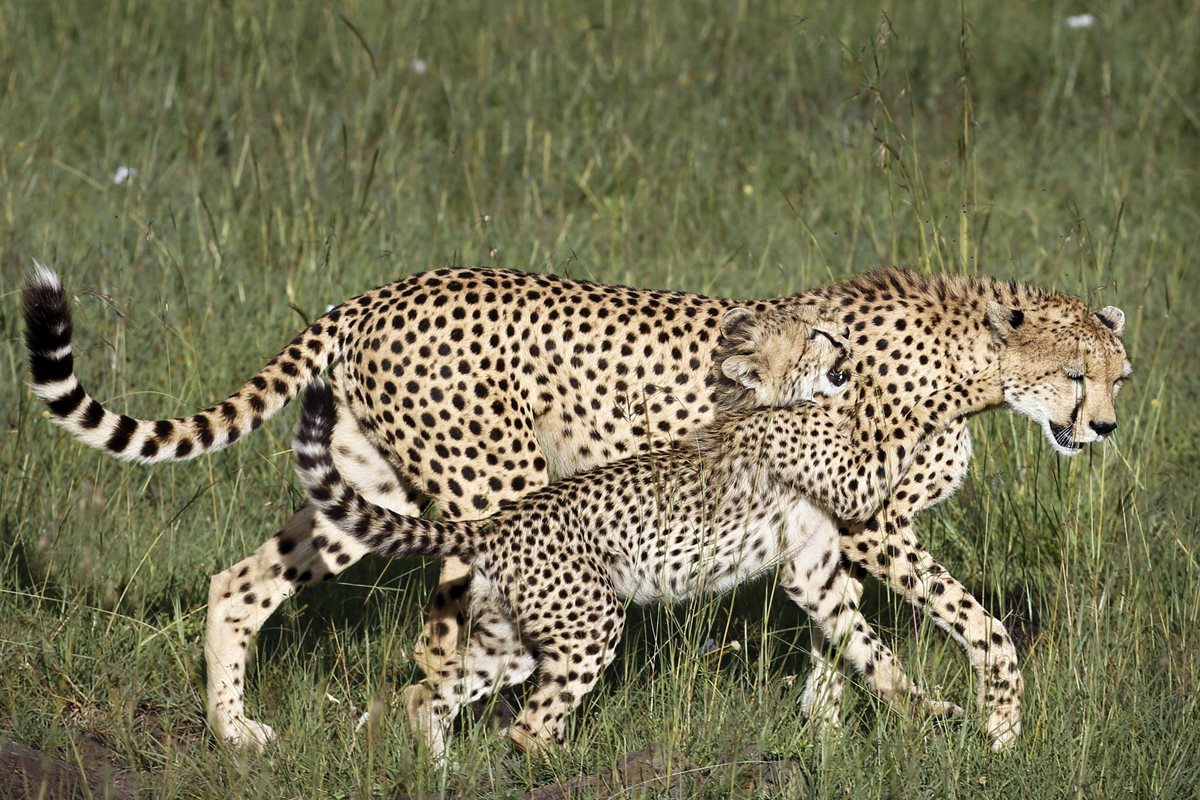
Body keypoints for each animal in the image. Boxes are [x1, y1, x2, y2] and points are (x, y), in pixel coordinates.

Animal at [18, 266, 1128, 753]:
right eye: (1076, 374)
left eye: (1120, 374)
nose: (1107, 427)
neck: (977, 360)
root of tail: (381, 289)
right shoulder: (873, 523)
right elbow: (978, 626)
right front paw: (996, 724)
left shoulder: (824, 534)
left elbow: (842, 633)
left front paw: (834, 722)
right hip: (498, 490)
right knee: (447, 636)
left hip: (368, 487)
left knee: (241, 583)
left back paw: (238, 727)